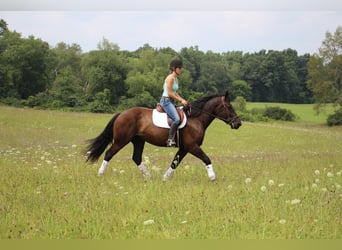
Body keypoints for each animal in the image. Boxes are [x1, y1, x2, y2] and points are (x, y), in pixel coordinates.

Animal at [84, 91, 242, 181]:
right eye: (229, 107)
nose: (238, 123)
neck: (196, 118)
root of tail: (121, 114)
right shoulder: (192, 146)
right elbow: (206, 159)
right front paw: (212, 177)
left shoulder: (184, 148)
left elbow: (174, 163)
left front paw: (165, 178)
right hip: (121, 140)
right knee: (109, 153)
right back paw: (100, 174)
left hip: (138, 141)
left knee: (136, 158)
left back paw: (149, 177)